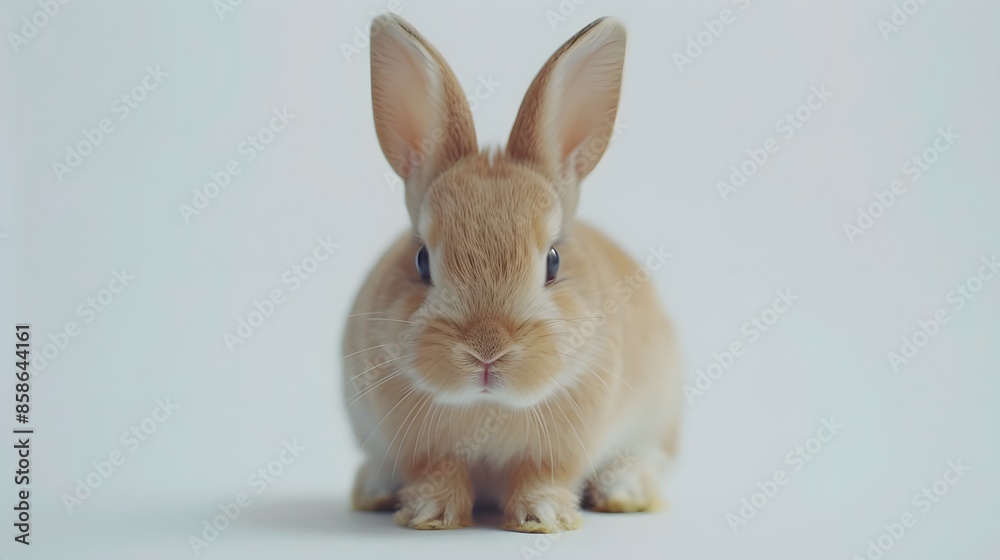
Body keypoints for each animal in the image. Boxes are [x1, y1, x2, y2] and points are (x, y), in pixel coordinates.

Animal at [342, 13, 682, 533]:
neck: (488, 406)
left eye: (553, 261)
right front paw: (429, 513)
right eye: (421, 260)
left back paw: (625, 492)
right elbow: (439, 472)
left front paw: (542, 517)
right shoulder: (421, 447)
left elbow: (540, 475)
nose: (487, 350)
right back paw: (375, 490)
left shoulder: (562, 446)